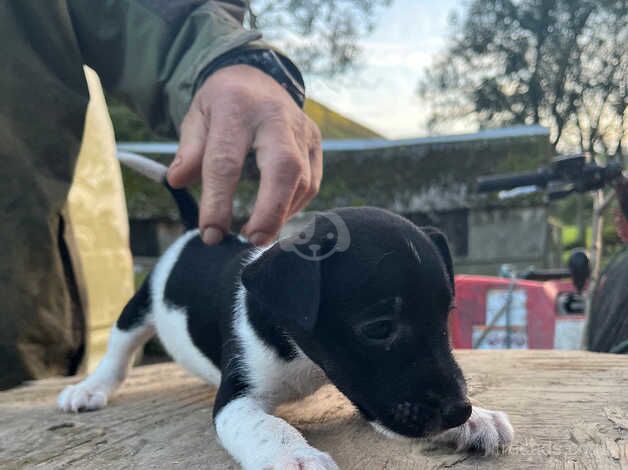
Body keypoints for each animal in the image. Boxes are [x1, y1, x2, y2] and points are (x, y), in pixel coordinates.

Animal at [56, 153, 512, 466]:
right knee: (118, 348)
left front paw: (477, 420)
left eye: (445, 316)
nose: (459, 409)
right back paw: (90, 388)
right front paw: (294, 458)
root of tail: (191, 234)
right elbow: (268, 426)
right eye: (379, 327)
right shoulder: (237, 400)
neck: (299, 355)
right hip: (138, 308)